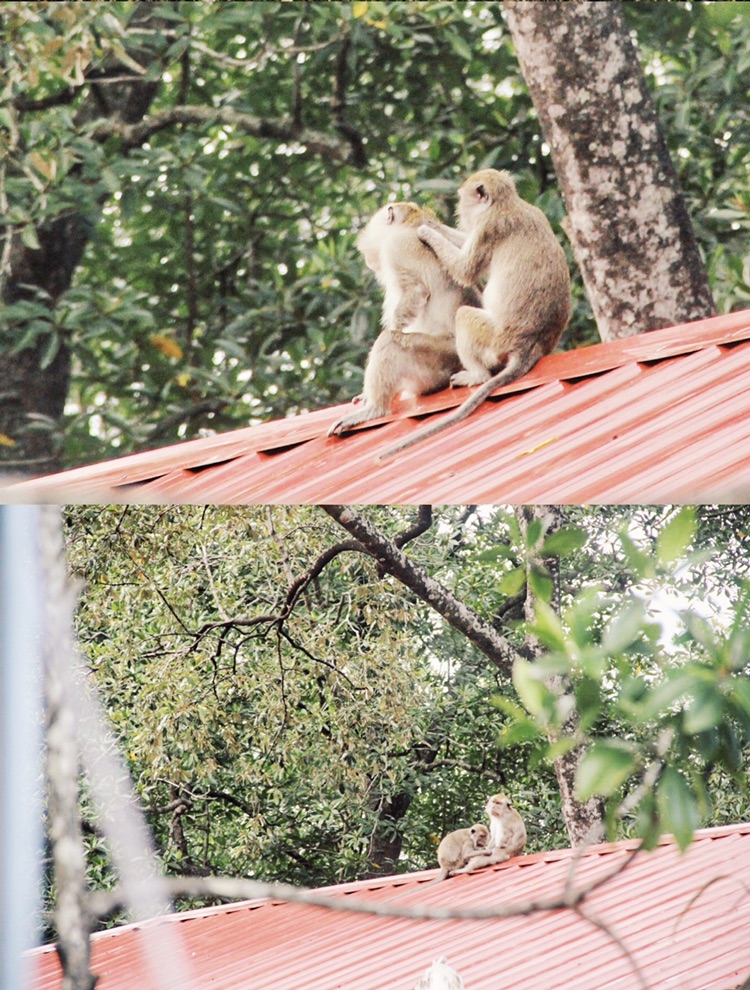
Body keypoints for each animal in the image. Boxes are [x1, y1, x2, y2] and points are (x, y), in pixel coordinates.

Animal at [328, 200, 476, 436]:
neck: (409, 225)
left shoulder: (395, 247)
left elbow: (416, 291)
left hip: (438, 359)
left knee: (391, 341)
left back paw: (374, 409)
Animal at [378, 171, 572, 462]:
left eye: (463, 200)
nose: (458, 211)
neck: (507, 203)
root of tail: (530, 345)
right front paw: (432, 224)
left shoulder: (487, 227)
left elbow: (465, 269)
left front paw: (426, 230)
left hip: (494, 339)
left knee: (464, 316)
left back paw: (476, 376)